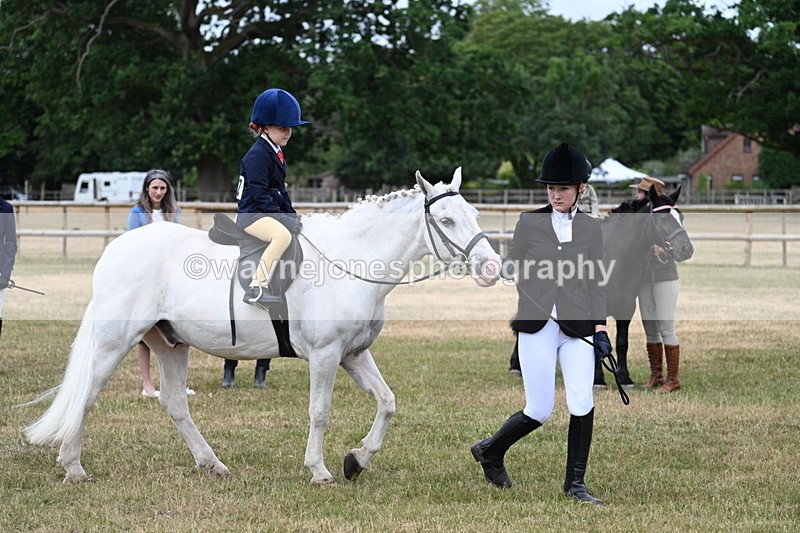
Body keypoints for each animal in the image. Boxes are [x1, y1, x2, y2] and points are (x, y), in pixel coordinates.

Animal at [23, 168, 501, 485]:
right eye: (447, 221)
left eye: (475, 214)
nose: (492, 268)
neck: (350, 261)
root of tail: (115, 249)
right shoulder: (326, 355)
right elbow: (320, 411)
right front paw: (320, 470)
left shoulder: (353, 354)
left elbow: (387, 403)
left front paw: (357, 459)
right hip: (115, 341)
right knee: (86, 396)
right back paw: (73, 467)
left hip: (171, 344)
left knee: (175, 404)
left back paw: (212, 464)